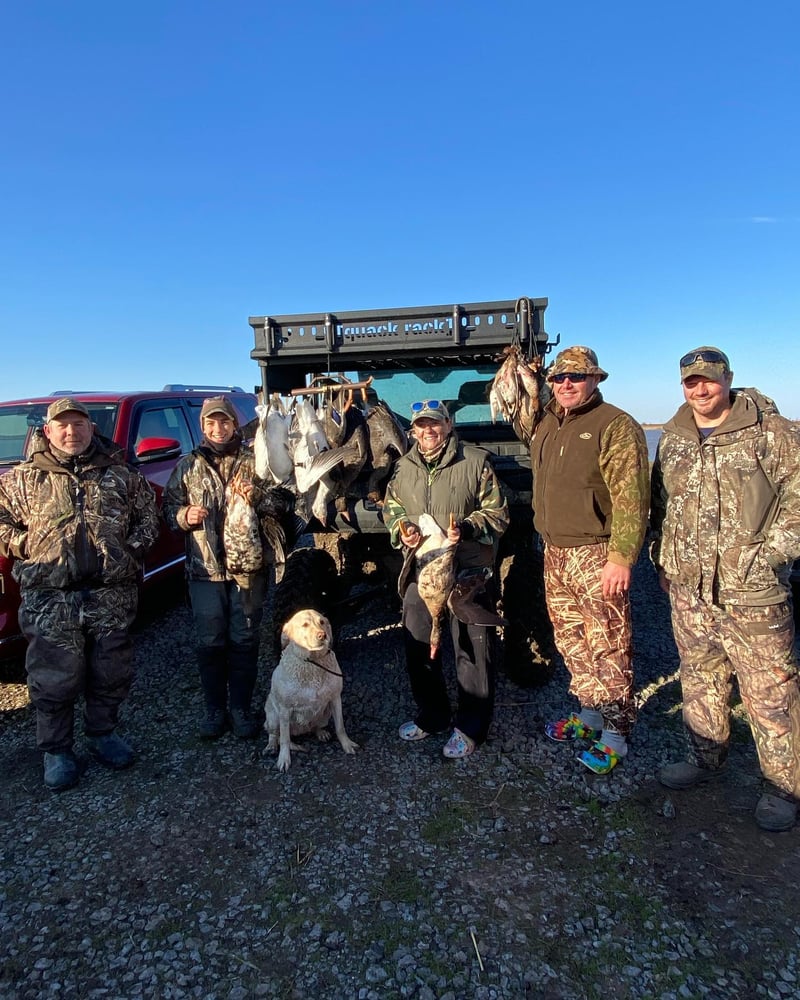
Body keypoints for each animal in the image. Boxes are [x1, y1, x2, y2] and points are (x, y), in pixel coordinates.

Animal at [264, 604, 358, 768]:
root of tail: (301, 730)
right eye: (305, 625)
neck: (312, 663)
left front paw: (347, 744)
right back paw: (271, 746)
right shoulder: (284, 709)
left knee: (315, 726)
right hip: (273, 716)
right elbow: (284, 739)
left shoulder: (335, 699)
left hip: (326, 712)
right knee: (275, 735)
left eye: (322, 622)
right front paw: (284, 758)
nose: (322, 635)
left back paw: (321, 732)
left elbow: (340, 727)